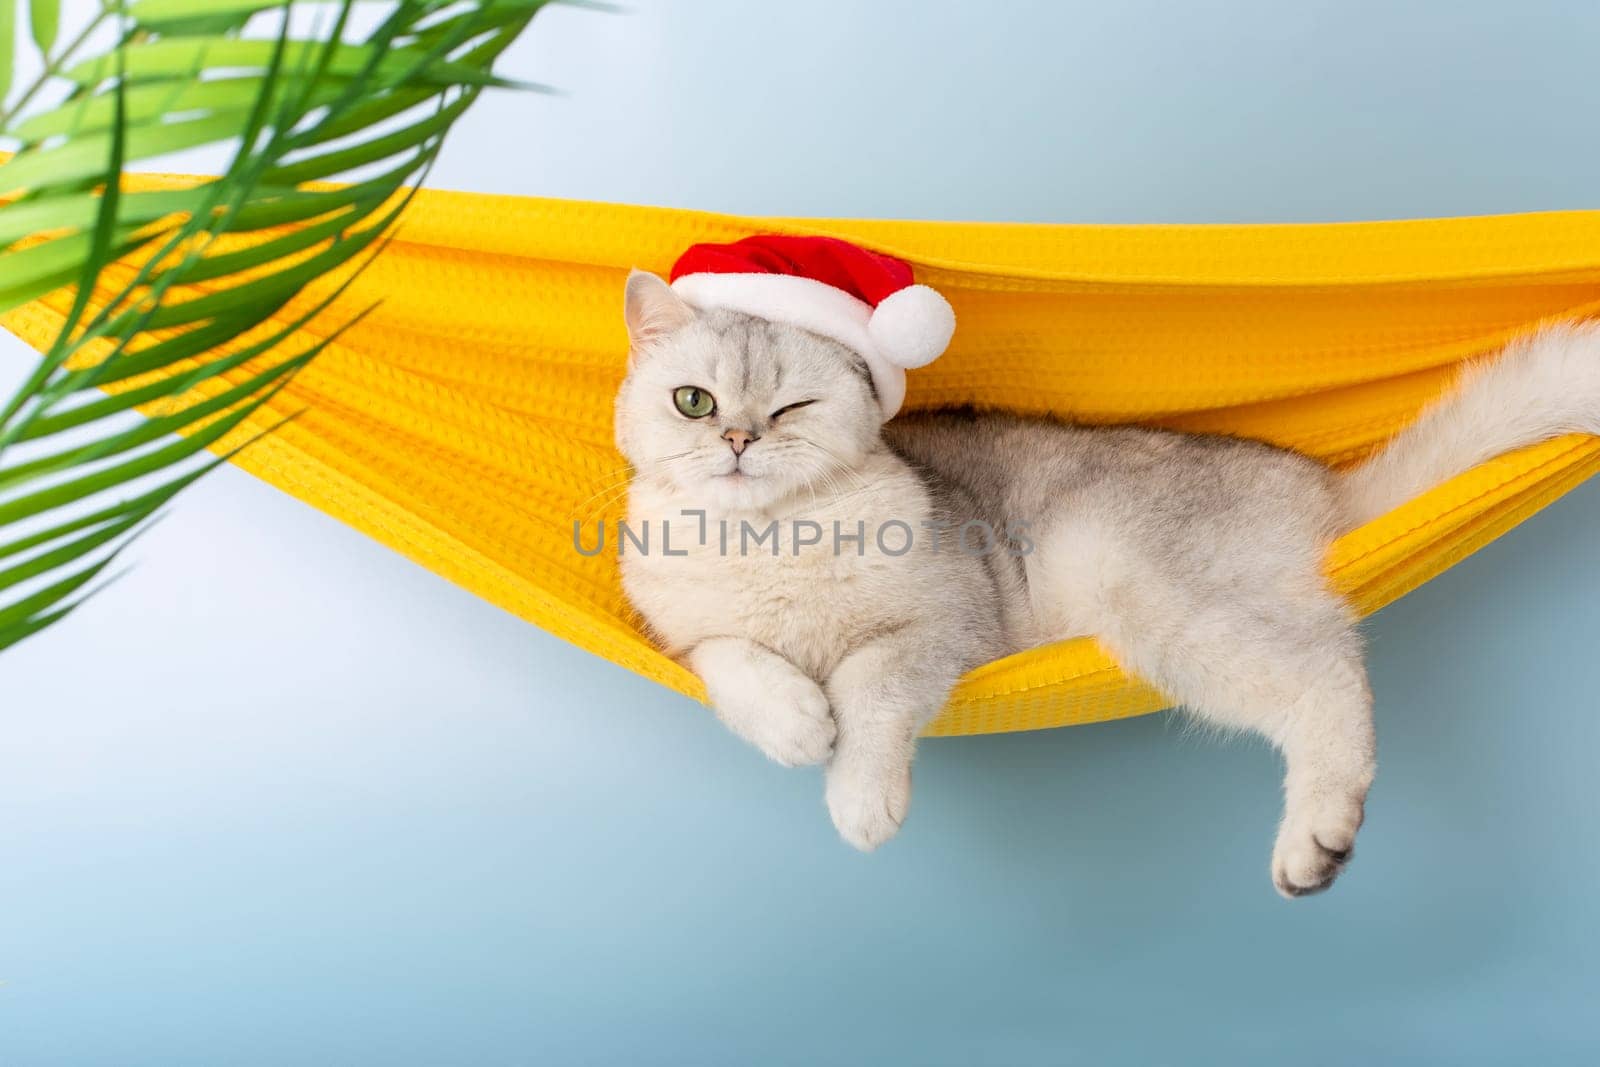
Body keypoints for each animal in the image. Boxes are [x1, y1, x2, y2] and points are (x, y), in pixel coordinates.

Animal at [614, 265, 1600, 895]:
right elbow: (729, 656)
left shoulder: (944, 625)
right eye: (694, 401)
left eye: (791, 406)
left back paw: (1315, 840)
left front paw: (857, 793)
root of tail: (1312, 484)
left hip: (1139, 585)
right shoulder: (679, 634)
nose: (737, 439)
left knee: (1328, 670)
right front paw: (790, 719)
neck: (765, 544)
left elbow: (867, 684)